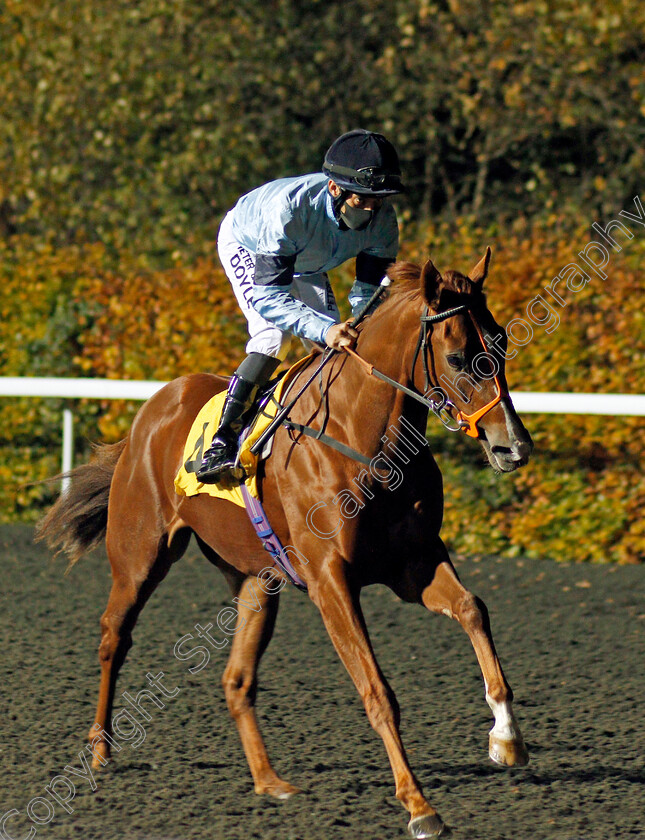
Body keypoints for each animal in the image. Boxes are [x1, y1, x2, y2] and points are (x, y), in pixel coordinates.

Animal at [39, 249, 532, 840]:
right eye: (458, 358)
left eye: (500, 342)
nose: (513, 447)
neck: (364, 438)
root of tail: (153, 409)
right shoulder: (330, 579)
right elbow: (377, 690)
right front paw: (418, 805)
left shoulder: (413, 563)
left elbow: (473, 609)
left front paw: (506, 738)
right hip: (140, 556)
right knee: (114, 637)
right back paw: (100, 751)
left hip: (256, 579)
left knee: (236, 680)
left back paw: (269, 781)